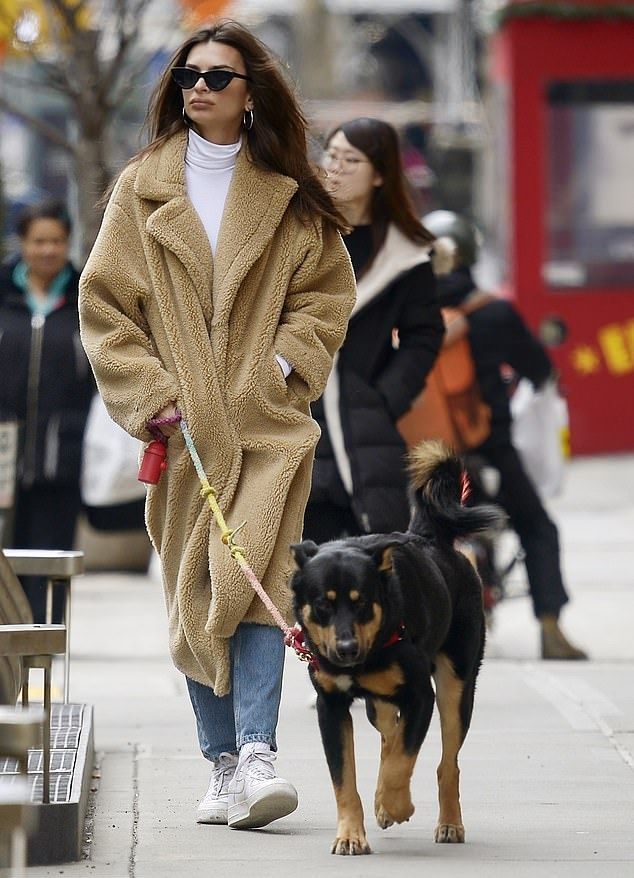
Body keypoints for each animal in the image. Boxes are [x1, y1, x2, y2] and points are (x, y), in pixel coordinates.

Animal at [288, 444, 502, 856]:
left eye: (362, 603)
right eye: (322, 604)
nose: (346, 649)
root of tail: (431, 539)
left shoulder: (421, 696)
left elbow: (404, 759)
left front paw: (396, 804)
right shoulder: (331, 706)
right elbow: (345, 779)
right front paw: (351, 834)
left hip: (455, 685)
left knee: (446, 762)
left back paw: (448, 823)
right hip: (380, 706)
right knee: (390, 737)